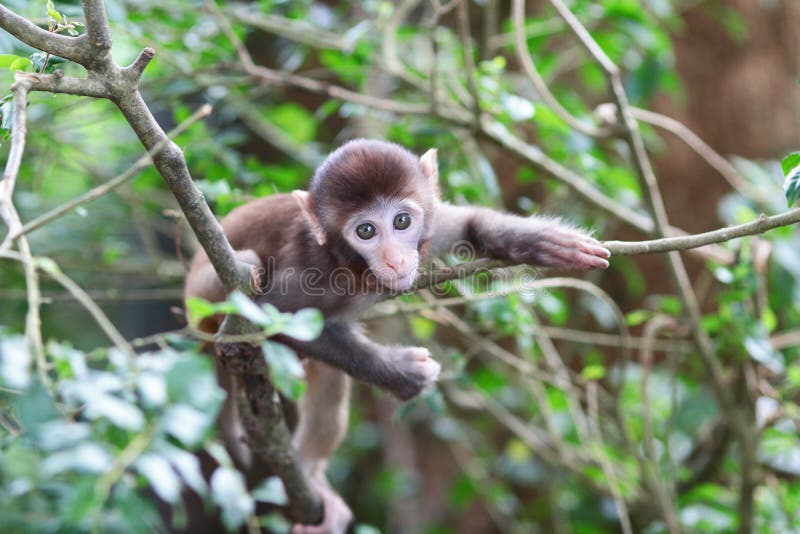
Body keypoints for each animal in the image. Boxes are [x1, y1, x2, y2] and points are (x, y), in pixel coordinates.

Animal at [184, 139, 608, 534]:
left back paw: (312, 472)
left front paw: (545, 242)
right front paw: (405, 375)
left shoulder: (431, 229)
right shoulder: (308, 272)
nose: (394, 259)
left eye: (402, 221)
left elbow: (467, 223)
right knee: (249, 266)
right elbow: (276, 317)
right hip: (202, 299)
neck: (354, 267)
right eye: (366, 231)